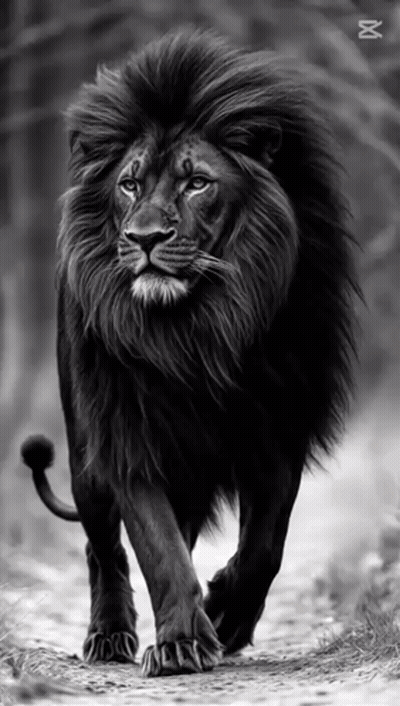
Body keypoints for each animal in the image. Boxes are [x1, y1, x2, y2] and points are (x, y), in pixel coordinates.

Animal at [21, 30, 357, 677]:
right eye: (129, 184)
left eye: (197, 182)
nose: (144, 238)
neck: (195, 330)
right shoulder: (127, 435)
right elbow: (157, 547)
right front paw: (181, 643)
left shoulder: (278, 432)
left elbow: (265, 546)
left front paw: (225, 615)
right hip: (83, 453)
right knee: (102, 544)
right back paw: (109, 635)